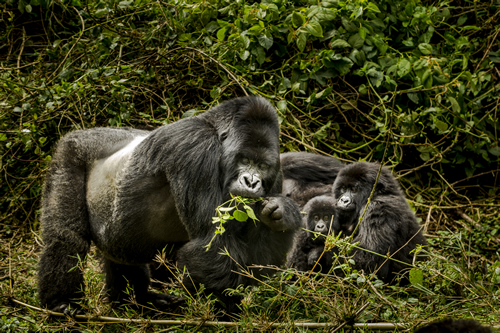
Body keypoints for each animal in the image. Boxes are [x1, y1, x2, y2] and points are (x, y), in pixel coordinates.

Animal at [38, 95, 300, 312]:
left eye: (262, 166)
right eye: (244, 160)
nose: (251, 181)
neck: (214, 129)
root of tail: (82, 133)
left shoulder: (276, 175)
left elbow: (260, 257)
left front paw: (281, 214)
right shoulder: (195, 145)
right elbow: (210, 242)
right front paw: (224, 314)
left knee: (122, 255)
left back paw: (135, 301)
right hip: (71, 151)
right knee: (66, 236)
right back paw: (61, 301)